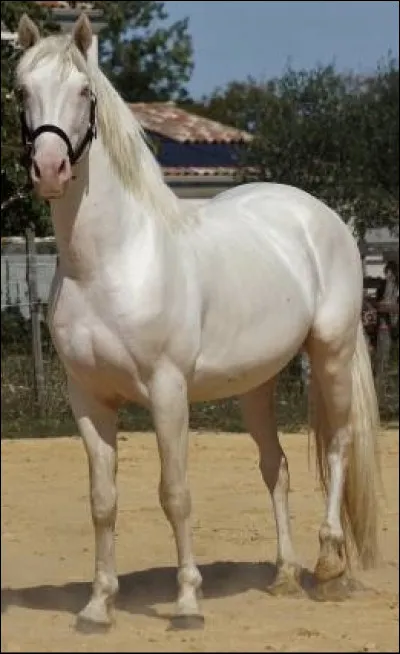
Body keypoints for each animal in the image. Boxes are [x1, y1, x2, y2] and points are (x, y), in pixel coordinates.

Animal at [16, 12, 381, 633]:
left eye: (85, 92)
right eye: (21, 91)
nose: (50, 169)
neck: (111, 262)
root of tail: (322, 216)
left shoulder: (168, 391)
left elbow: (175, 493)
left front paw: (187, 603)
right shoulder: (87, 398)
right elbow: (102, 500)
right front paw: (97, 606)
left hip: (330, 354)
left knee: (337, 447)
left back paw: (329, 567)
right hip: (258, 383)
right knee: (276, 467)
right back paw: (284, 575)